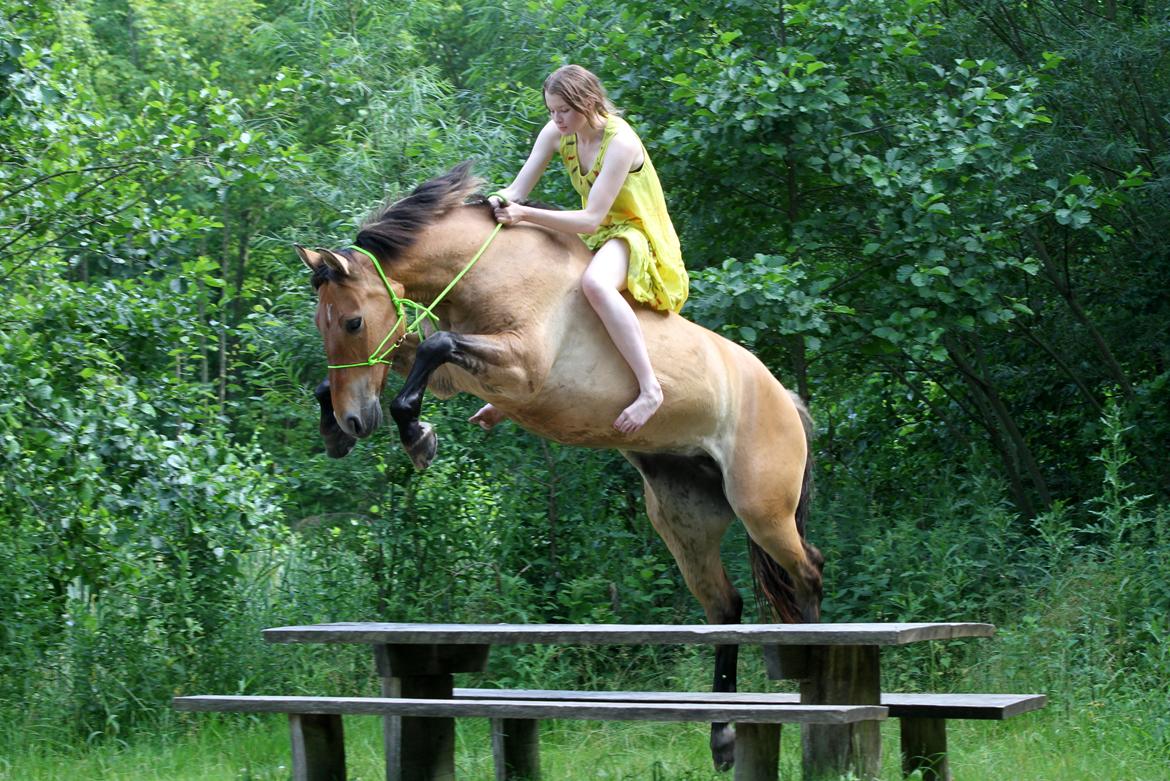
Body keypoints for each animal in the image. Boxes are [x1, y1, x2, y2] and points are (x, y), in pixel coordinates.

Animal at [294, 161, 823, 771]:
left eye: (353, 322)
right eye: (322, 324)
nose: (356, 420)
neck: (488, 268)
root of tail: (785, 398)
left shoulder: (519, 365)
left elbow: (433, 349)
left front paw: (417, 437)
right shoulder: (461, 377)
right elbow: (416, 357)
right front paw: (342, 428)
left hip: (762, 511)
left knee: (808, 574)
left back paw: (818, 676)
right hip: (683, 518)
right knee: (725, 605)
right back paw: (723, 737)